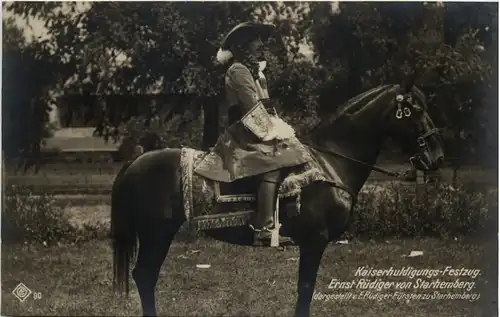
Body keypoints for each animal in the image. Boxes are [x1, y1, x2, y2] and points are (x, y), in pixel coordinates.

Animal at [110, 83, 446, 316]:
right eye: (415, 110)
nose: (437, 157)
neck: (331, 161)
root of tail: (136, 161)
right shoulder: (315, 240)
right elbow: (305, 290)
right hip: (156, 234)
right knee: (145, 277)